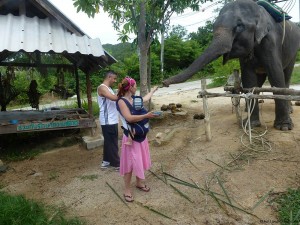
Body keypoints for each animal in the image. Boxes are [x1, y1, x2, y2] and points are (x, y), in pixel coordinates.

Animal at [163, 0, 300, 130]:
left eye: (239, 26)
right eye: (213, 26)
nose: (164, 83)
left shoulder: (271, 41)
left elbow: (275, 74)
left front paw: (284, 127)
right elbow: (248, 79)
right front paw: (251, 125)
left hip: (293, 52)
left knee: (286, 76)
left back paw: (289, 110)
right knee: (259, 82)